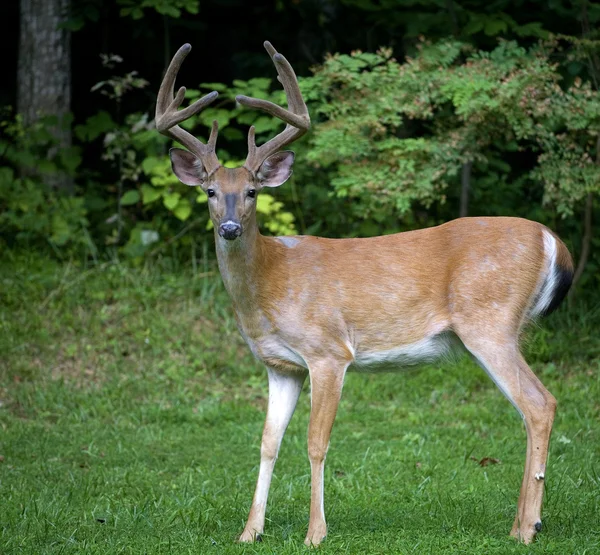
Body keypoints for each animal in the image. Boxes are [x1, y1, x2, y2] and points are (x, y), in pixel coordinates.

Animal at [156, 40, 576, 548]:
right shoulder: (280, 366)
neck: (270, 283)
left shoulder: (328, 351)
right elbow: (268, 442)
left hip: (490, 321)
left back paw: (527, 528)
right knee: (532, 407)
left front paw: (315, 533)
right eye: (211, 191)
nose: (231, 227)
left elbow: (316, 442)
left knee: (540, 403)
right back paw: (521, 522)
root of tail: (552, 239)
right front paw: (249, 532)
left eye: (253, 191)